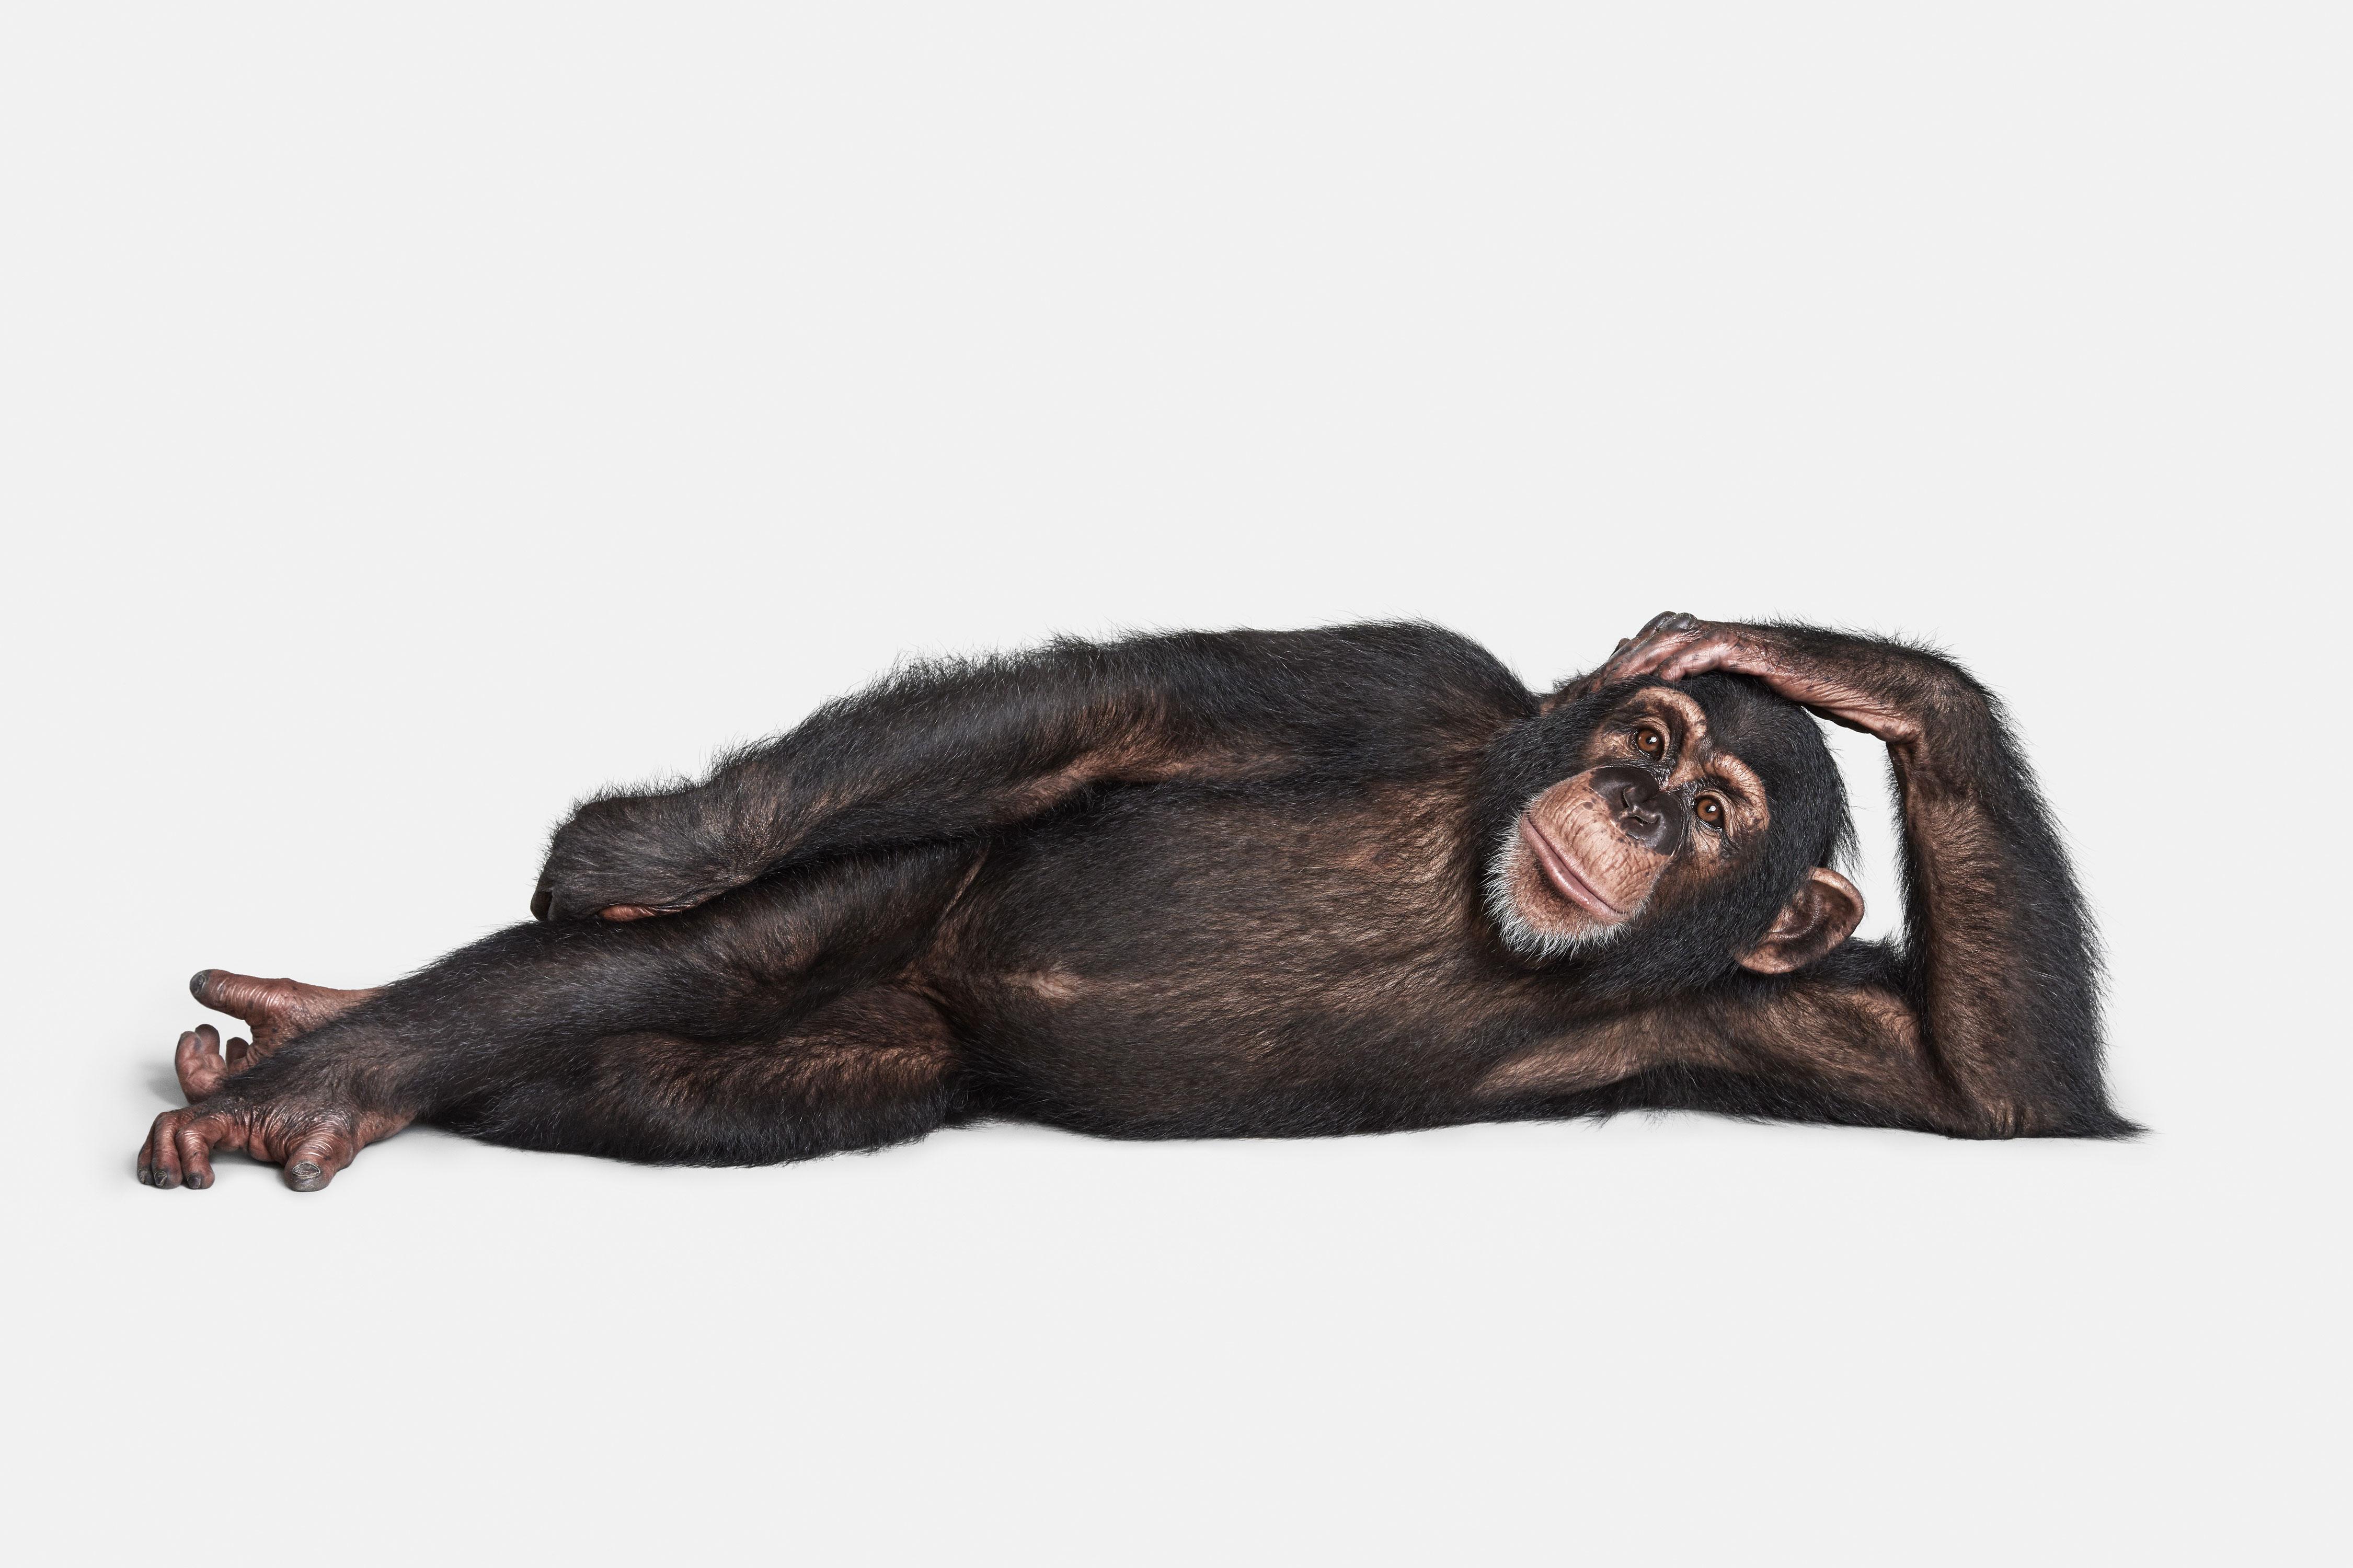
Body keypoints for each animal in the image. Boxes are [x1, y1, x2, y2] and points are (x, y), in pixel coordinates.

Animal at [137, 613, 2132, 1192]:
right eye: (1644, 737)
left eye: (1715, 811)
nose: (1637, 800)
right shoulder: (1419, 683)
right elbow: (1125, 701)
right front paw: (633, 848)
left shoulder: (1750, 1005)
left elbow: (1988, 1086)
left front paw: (1864, 677)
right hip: (919, 879)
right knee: (722, 951)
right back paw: (331, 1075)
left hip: (892, 1054)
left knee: (705, 1086)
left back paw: (317, 1056)